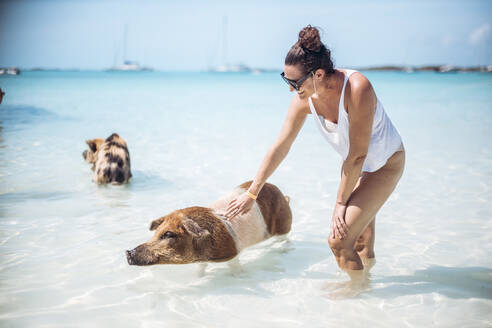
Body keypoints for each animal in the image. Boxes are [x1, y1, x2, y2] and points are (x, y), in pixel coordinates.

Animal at [127, 182, 292, 270]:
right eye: (156, 232)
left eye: (168, 234)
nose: (128, 252)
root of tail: (283, 195)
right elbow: (201, 269)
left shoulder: (231, 254)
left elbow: (234, 266)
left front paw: (239, 276)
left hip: (283, 226)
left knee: (285, 239)